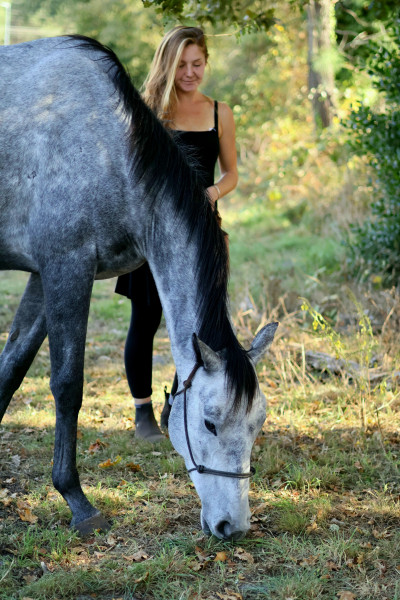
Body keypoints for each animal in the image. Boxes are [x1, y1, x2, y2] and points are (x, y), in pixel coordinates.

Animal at [0, 38, 276, 544]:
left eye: (258, 424)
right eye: (209, 422)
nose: (232, 527)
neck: (112, 151)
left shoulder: (43, 275)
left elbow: (12, 368)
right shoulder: (66, 268)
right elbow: (67, 385)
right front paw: (77, 501)